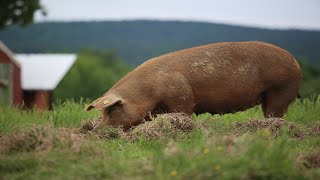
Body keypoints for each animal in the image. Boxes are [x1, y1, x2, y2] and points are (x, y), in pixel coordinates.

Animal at [86, 41, 302, 130]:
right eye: (101, 112)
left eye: (112, 109)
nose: (95, 130)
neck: (148, 93)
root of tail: (295, 62)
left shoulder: (182, 97)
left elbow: (184, 111)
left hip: (281, 88)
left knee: (275, 112)